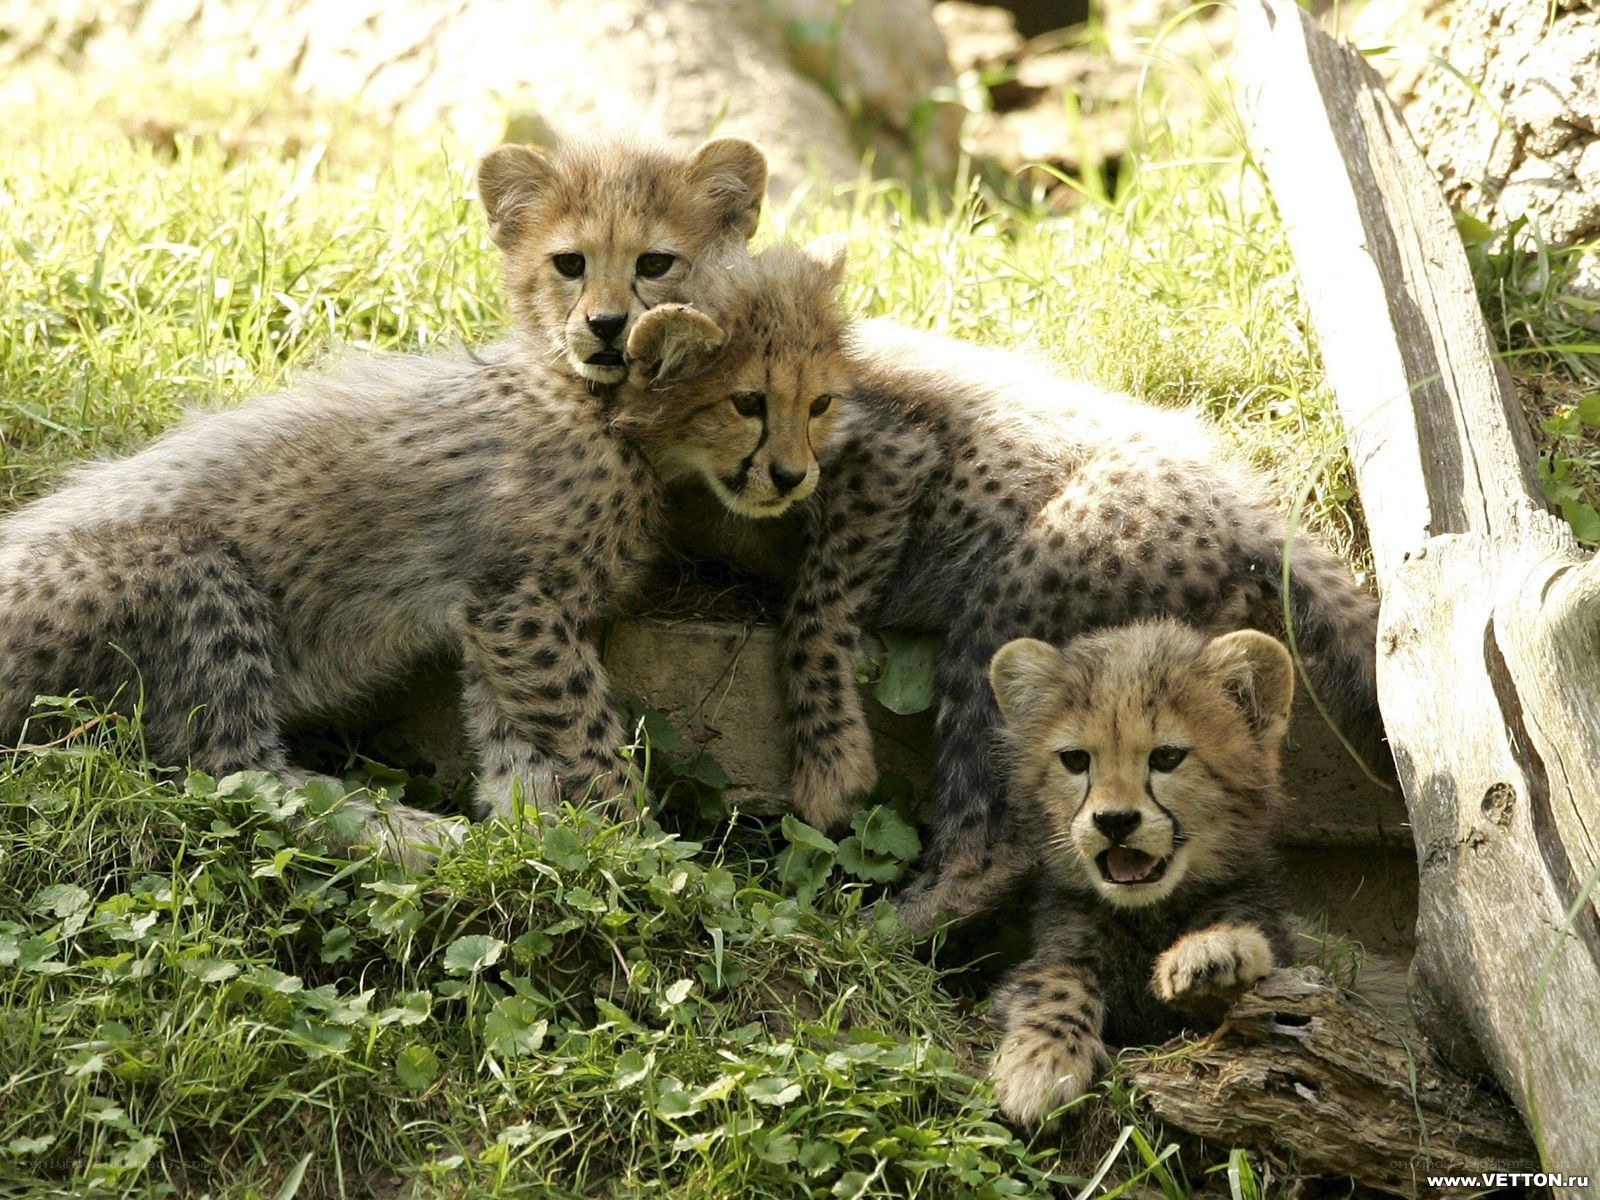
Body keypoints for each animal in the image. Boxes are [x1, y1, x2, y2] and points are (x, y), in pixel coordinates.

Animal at [983, 620, 1298, 1126]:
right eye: (1076, 760)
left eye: (1167, 757)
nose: (1114, 821)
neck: (1148, 915)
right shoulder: (1059, 948)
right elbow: (1054, 982)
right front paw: (1039, 1063)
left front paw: (1213, 952)